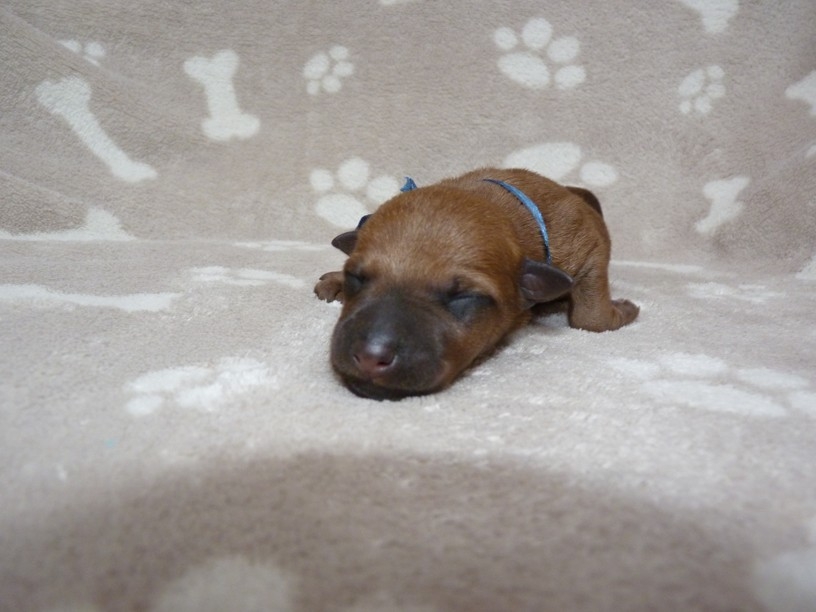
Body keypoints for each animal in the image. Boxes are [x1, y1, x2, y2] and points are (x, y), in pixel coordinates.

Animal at [314, 167, 639, 400]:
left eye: (462, 297)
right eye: (356, 277)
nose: (370, 357)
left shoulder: (589, 246)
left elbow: (589, 317)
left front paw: (623, 310)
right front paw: (337, 279)